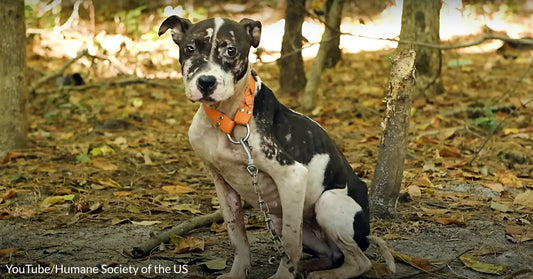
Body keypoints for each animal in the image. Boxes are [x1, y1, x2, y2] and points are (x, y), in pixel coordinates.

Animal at [156, 15, 392, 279]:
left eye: (231, 50)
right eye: (190, 48)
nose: (206, 82)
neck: (230, 117)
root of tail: (365, 234)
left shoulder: (292, 176)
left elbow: (290, 242)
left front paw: (283, 276)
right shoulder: (222, 184)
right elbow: (237, 235)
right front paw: (238, 272)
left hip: (327, 203)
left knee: (359, 260)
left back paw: (326, 273)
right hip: (285, 221)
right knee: (332, 255)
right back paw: (310, 267)